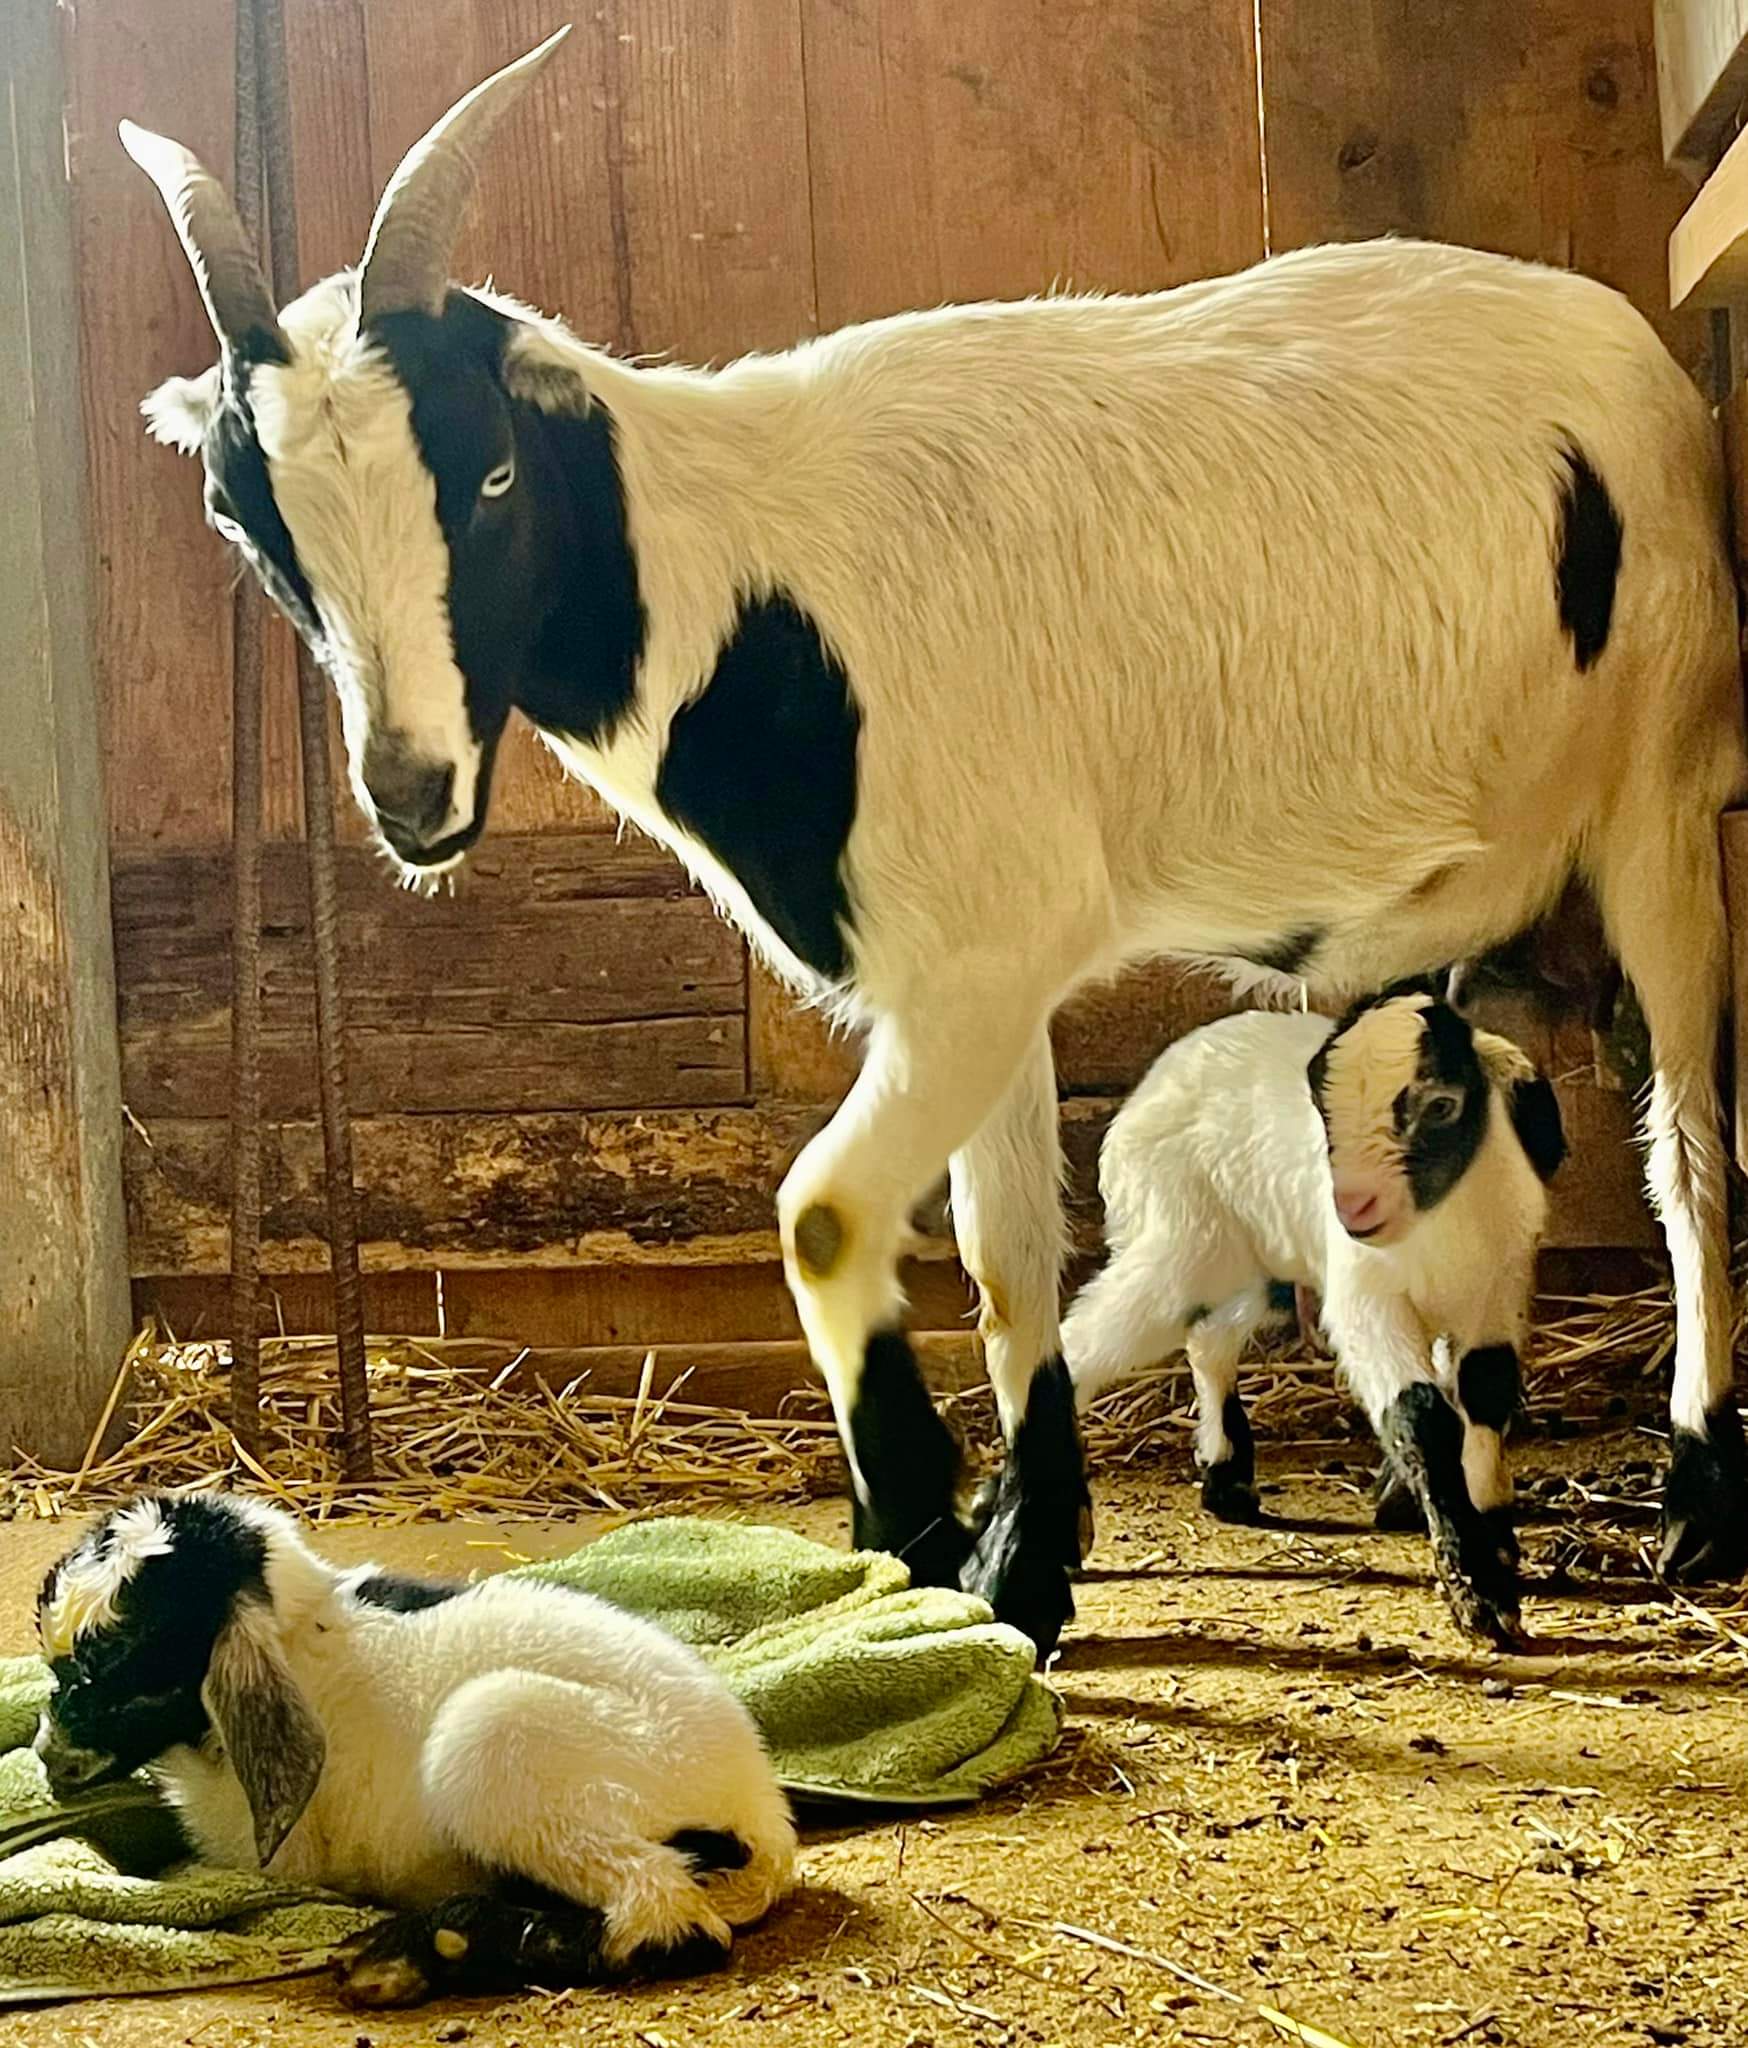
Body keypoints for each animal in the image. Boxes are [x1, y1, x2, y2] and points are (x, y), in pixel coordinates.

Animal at [34, 1493, 797, 2009]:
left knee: (666, 1920)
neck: (308, 1644)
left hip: (495, 1739)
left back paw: (414, 1954)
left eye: (121, 1673)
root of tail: (764, 1823)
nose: (46, 1757)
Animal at [1065, 993, 1567, 1644]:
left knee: (1210, 1340)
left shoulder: (1496, 1293)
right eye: (1324, 1112)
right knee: (1084, 1342)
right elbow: (1420, 1414)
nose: (1352, 1204)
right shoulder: (1365, 1297)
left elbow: (1487, 1392)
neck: (1438, 1223)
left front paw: (1496, 1549)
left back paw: (1227, 1478)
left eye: (1441, 1105)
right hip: (1179, 1236)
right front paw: (1477, 1593)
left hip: (1251, 1262)